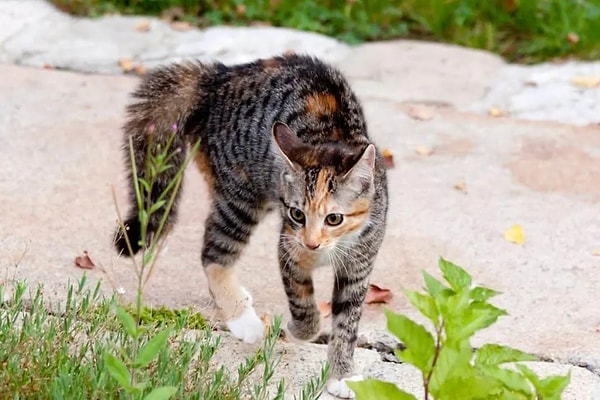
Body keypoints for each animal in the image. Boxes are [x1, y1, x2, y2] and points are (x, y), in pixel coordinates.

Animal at [113, 54, 390, 400]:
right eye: (297, 214)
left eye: (334, 219)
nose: (312, 243)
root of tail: (220, 75)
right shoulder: (289, 249)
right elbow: (303, 305)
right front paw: (299, 330)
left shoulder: (359, 264)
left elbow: (347, 324)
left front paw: (342, 374)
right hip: (241, 195)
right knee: (214, 253)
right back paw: (242, 318)